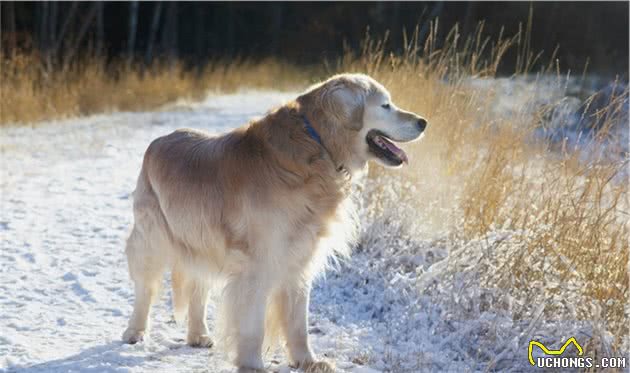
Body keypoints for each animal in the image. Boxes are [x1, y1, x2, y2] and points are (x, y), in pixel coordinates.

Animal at [122, 72, 430, 370]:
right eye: (385, 105)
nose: (423, 121)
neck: (317, 147)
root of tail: (159, 139)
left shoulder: (300, 258)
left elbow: (298, 322)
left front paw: (307, 361)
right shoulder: (256, 264)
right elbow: (253, 324)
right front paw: (252, 364)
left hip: (200, 241)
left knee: (199, 287)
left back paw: (199, 335)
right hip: (152, 238)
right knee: (145, 288)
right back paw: (135, 331)